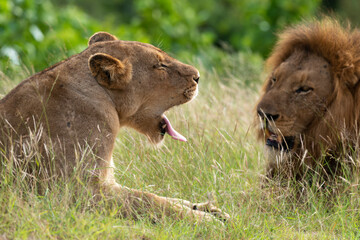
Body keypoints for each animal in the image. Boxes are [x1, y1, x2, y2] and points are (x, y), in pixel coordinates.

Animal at [0, 31, 228, 223]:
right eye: (160, 66)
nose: (198, 77)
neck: (106, 100)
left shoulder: (106, 181)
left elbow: (162, 197)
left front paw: (208, 209)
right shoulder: (73, 191)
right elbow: (146, 200)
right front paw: (207, 222)